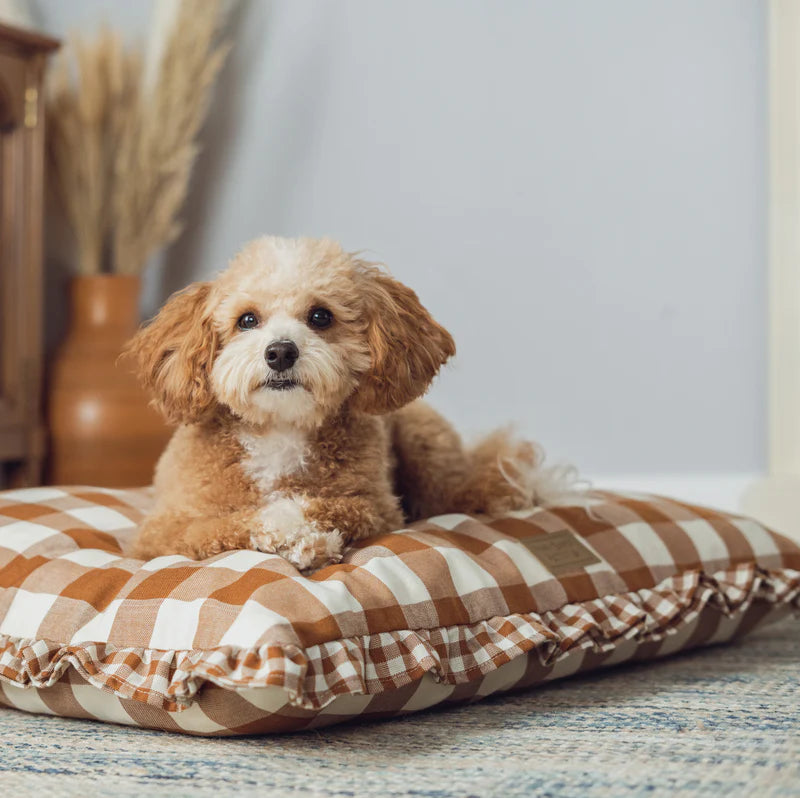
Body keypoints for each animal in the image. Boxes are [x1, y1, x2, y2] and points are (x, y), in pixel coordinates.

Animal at [128, 234, 572, 572]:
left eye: (320, 316)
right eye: (247, 320)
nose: (281, 352)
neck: (280, 430)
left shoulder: (375, 506)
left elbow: (320, 504)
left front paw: (309, 539)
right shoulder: (164, 531)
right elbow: (229, 524)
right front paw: (297, 538)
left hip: (427, 448)